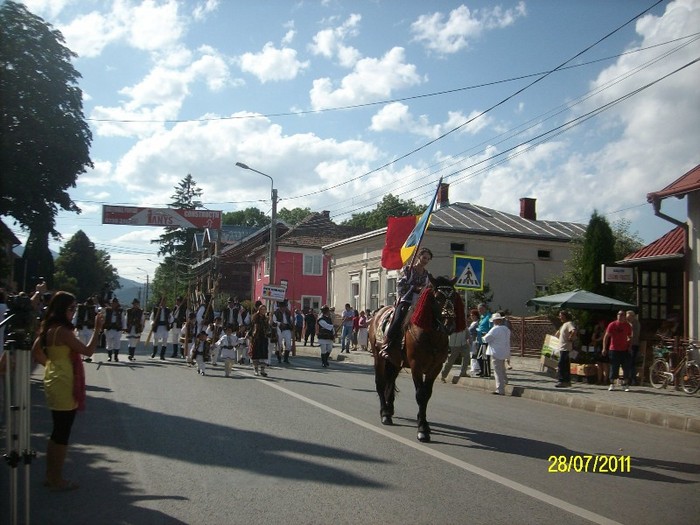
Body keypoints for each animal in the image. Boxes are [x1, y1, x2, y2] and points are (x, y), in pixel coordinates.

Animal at [366, 274, 464, 442]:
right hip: (379, 358)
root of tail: (378, 313)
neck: (431, 336)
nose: (450, 325)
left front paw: (424, 423)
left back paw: (389, 409)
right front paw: (422, 429)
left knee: (390, 382)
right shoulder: (416, 366)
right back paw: (385, 413)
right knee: (380, 383)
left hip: (395, 362)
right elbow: (420, 394)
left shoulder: (435, 368)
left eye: (453, 296)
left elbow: (427, 394)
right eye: (437, 297)